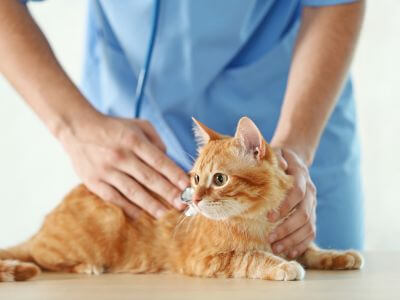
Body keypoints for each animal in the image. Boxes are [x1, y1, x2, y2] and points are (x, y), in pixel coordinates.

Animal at [0, 116, 362, 282]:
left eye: (219, 179)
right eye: (196, 179)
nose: (196, 200)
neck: (258, 222)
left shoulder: (292, 238)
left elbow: (311, 251)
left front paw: (339, 255)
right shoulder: (206, 261)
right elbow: (251, 258)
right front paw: (283, 265)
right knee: (42, 255)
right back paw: (86, 266)